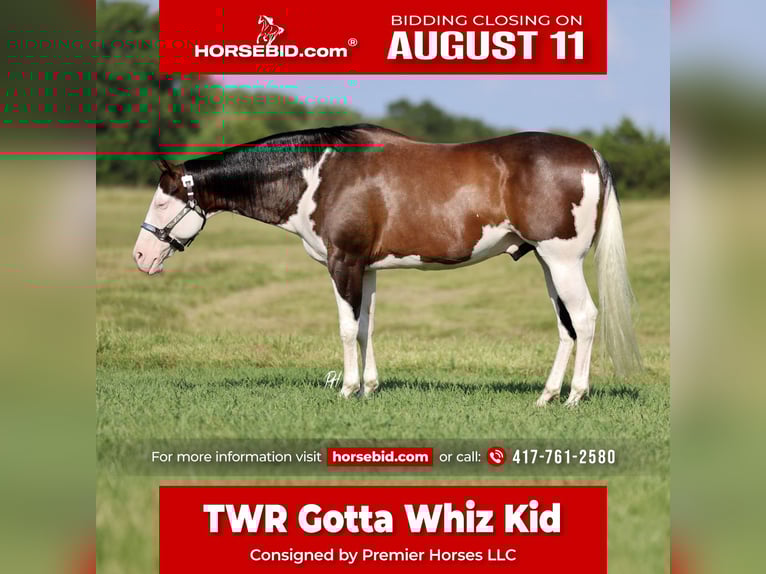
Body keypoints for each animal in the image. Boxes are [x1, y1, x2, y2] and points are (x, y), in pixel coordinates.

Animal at [132, 124, 642, 406]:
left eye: (163, 202)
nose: (140, 256)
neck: (317, 173)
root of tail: (589, 153)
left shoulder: (343, 263)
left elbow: (345, 328)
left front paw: (346, 390)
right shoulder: (368, 268)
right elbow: (365, 328)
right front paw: (369, 387)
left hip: (562, 260)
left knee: (586, 319)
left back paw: (575, 397)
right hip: (547, 263)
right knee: (566, 327)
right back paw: (547, 396)